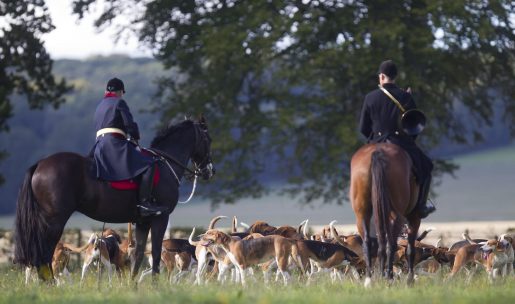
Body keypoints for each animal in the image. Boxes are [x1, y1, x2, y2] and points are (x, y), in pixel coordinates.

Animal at [14, 117, 215, 282]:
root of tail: (40, 164)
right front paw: (155, 286)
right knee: (44, 253)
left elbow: (139, 254)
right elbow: (157, 253)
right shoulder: (160, 218)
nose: (209, 171)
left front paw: (133, 285)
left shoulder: (142, 222)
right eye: (208, 139)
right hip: (53, 222)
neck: (165, 164)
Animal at [348, 142, 422, 284]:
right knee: (391, 244)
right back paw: (389, 277)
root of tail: (378, 152)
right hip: (399, 215)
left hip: (362, 213)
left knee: (369, 241)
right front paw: (410, 279)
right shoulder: (414, 216)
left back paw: (370, 280)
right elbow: (410, 247)